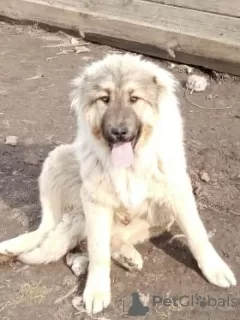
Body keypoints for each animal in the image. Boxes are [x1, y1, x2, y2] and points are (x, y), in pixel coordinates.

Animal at [0, 55, 235, 316]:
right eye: (105, 99)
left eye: (134, 99)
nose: (119, 132)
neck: (130, 163)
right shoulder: (96, 202)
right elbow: (98, 252)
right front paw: (96, 291)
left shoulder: (177, 191)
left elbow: (197, 234)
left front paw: (215, 268)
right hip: (58, 160)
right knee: (49, 228)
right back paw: (10, 247)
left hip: (158, 214)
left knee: (108, 236)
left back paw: (127, 256)